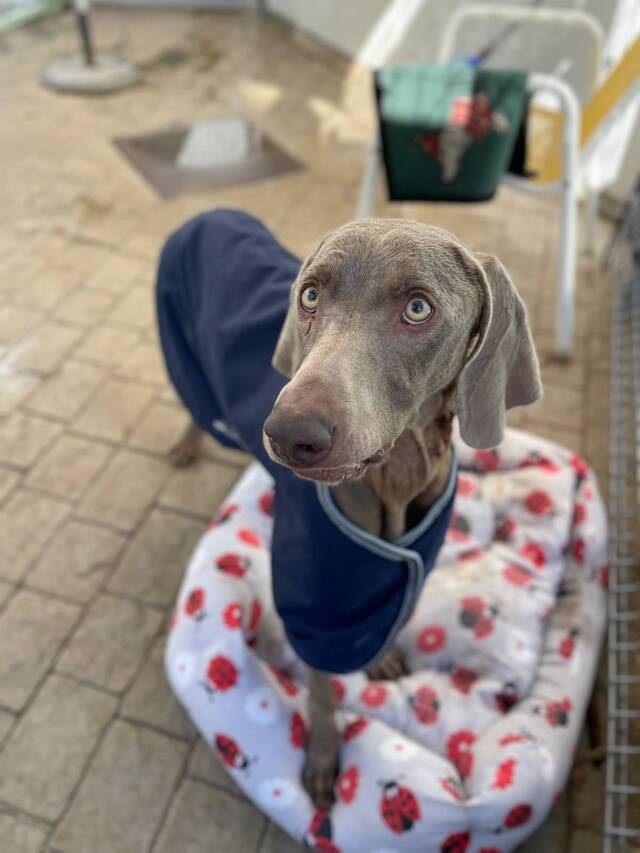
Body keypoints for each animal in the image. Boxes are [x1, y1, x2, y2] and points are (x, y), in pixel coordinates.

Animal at [157, 211, 541, 810]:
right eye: (310, 295)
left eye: (418, 308)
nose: (289, 434)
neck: (397, 474)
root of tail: (211, 213)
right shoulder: (318, 597)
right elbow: (320, 683)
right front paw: (321, 763)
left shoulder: (408, 563)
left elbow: (389, 616)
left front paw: (381, 660)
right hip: (184, 359)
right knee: (194, 408)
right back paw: (185, 444)